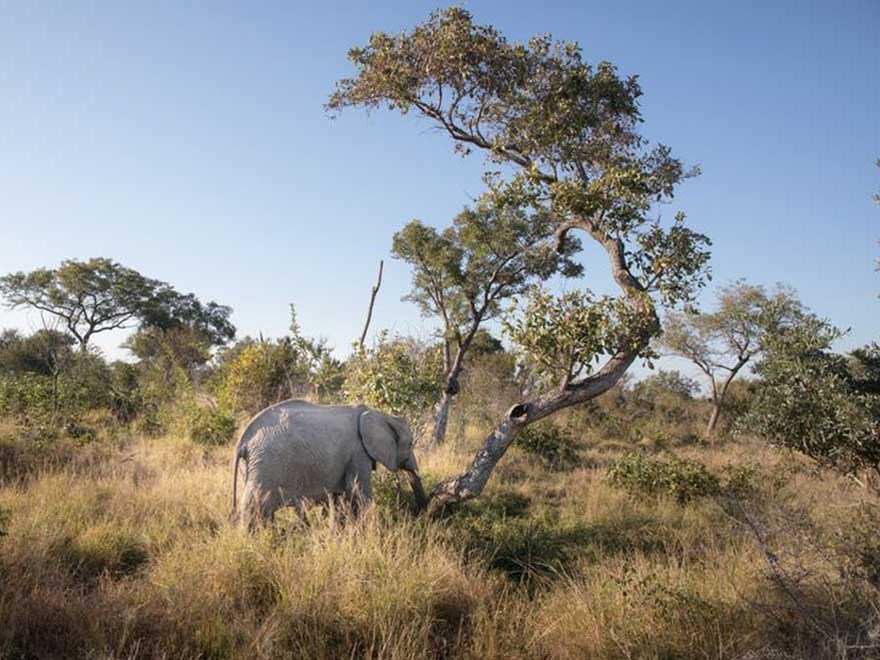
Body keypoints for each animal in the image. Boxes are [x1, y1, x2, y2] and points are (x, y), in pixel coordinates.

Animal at [230, 400, 430, 528]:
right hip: (265, 465)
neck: (378, 413)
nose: (421, 512)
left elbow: (338, 499)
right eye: (411, 444)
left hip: (255, 465)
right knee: (254, 505)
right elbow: (358, 492)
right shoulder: (358, 452)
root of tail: (243, 441)